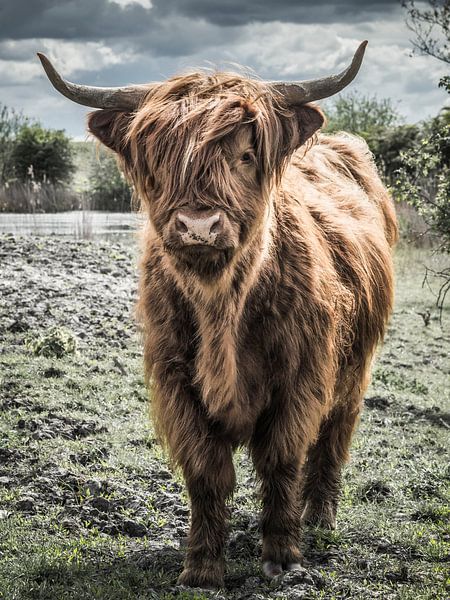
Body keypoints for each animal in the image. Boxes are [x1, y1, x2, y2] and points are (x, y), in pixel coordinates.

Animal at [38, 41, 398, 584]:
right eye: (159, 159)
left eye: (246, 155)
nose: (199, 226)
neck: (222, 307)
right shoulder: (177, 381)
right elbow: (207, 472)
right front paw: (202, 567)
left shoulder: (300, 379)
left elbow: (281, 460)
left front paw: (283, 556)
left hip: (355, 371)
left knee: (333, 440)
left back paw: (319, 518)